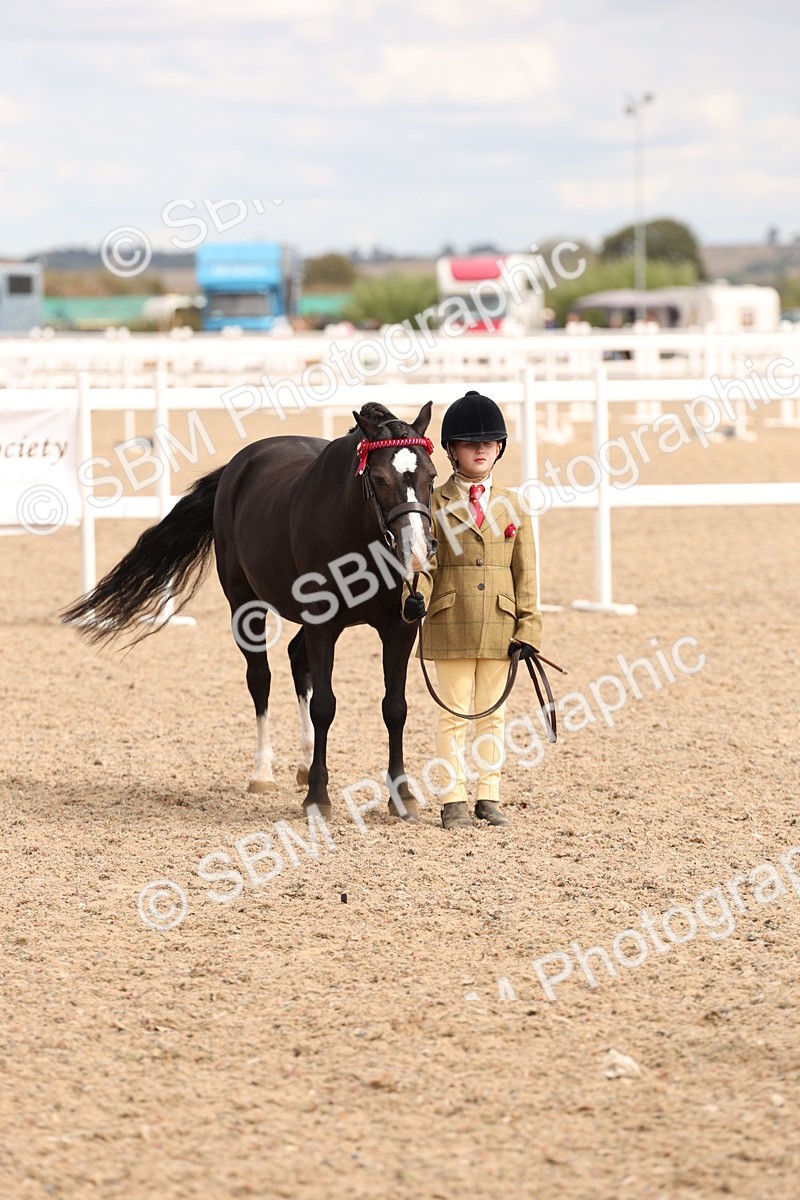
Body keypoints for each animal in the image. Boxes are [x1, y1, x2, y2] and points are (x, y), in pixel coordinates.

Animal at [62, 401, 438, 821]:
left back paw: (303, 766)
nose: (417, 550)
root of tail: (236, 466)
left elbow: (395, 707)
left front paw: (402, 796)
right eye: (379, 477)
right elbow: (324, 705)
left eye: (431, 476)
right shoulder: (322, 622)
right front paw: (318, 797)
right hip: (246, 606)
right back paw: (264, 772)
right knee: (261, 679)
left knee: (297, 661)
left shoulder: (399, 627)